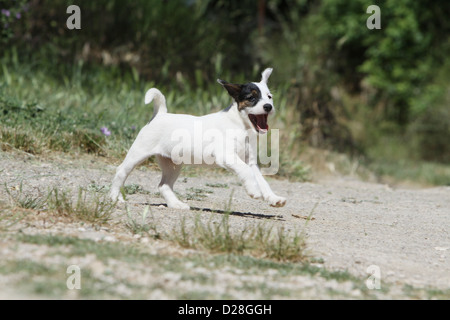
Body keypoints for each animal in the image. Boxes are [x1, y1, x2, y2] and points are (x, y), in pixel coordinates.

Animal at [110, 68, 284, 209]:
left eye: (269, 97)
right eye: (251, 98)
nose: (268, 106)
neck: (240, 125)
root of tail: (160, 114)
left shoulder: (250, 161)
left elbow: (261, 180)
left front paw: (273, 197)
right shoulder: (227, 155)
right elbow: (246, 171)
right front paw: (254, 191)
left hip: (172, 164)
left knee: (164, 185)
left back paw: (176, 205)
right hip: (138, 153)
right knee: (121, 172)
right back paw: (114, 199)